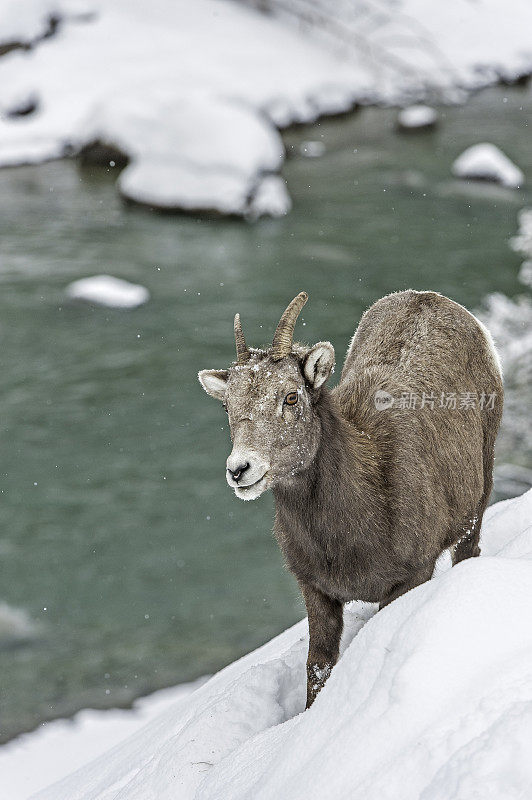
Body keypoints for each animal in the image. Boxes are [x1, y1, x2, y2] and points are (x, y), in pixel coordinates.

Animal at [200, 290, 502, 704]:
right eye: (227, 405)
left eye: (291, 396)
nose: (240, 469)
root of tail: (432, 298)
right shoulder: (317, 590)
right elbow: (318, 666)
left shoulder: (412, 576)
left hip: (479, 496)